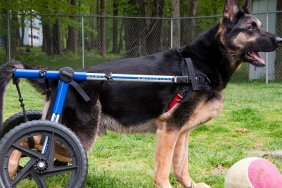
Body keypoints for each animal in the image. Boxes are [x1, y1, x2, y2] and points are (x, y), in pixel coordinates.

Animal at [1, 0, 282, 187]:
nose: (279, 40)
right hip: (78, 135)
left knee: (30, 140)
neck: (198, 65)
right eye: (252, 28)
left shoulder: (182, 132)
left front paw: (190, 184)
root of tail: (58, 76)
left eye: (259, 25)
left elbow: (181, 165)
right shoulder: (169, 130)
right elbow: (163, 169)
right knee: (29, 144)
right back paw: (13, 169)